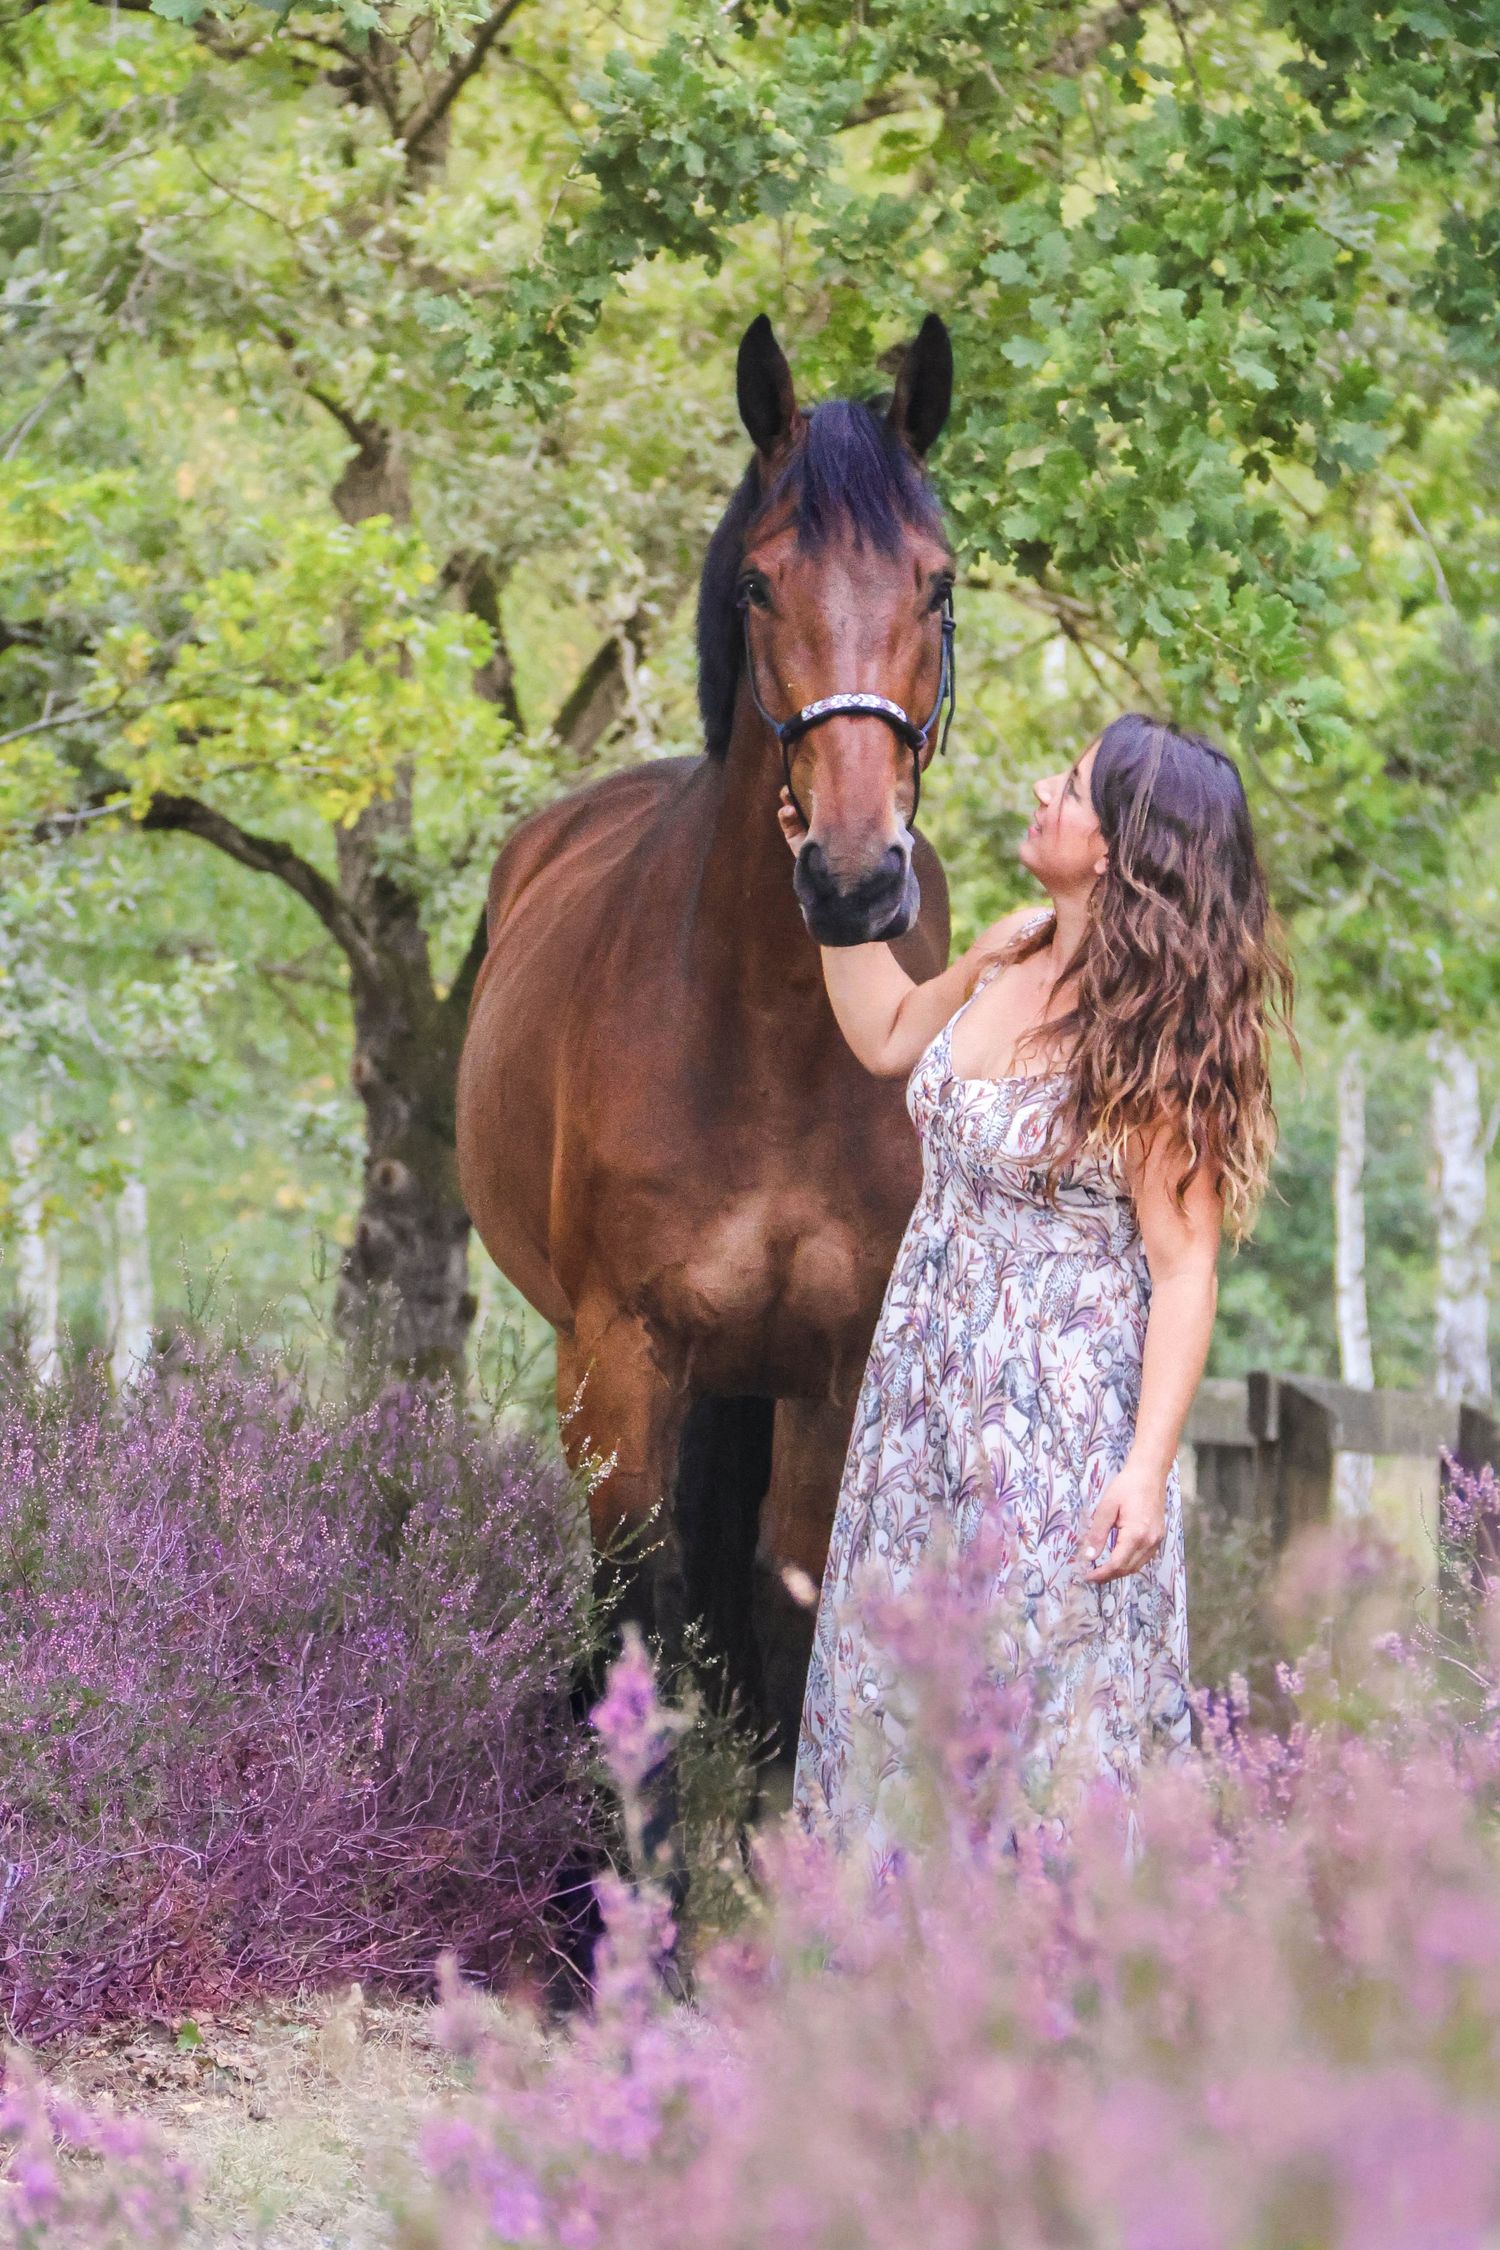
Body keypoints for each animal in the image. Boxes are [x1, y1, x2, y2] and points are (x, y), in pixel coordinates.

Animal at [456, 313, 956, 1761]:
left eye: (939, 587)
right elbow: (641, 1610)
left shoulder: (831, 1376)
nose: (853, 879)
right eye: (758, 586)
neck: (775, 1039)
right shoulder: (619, 1365)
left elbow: (790, 1623)